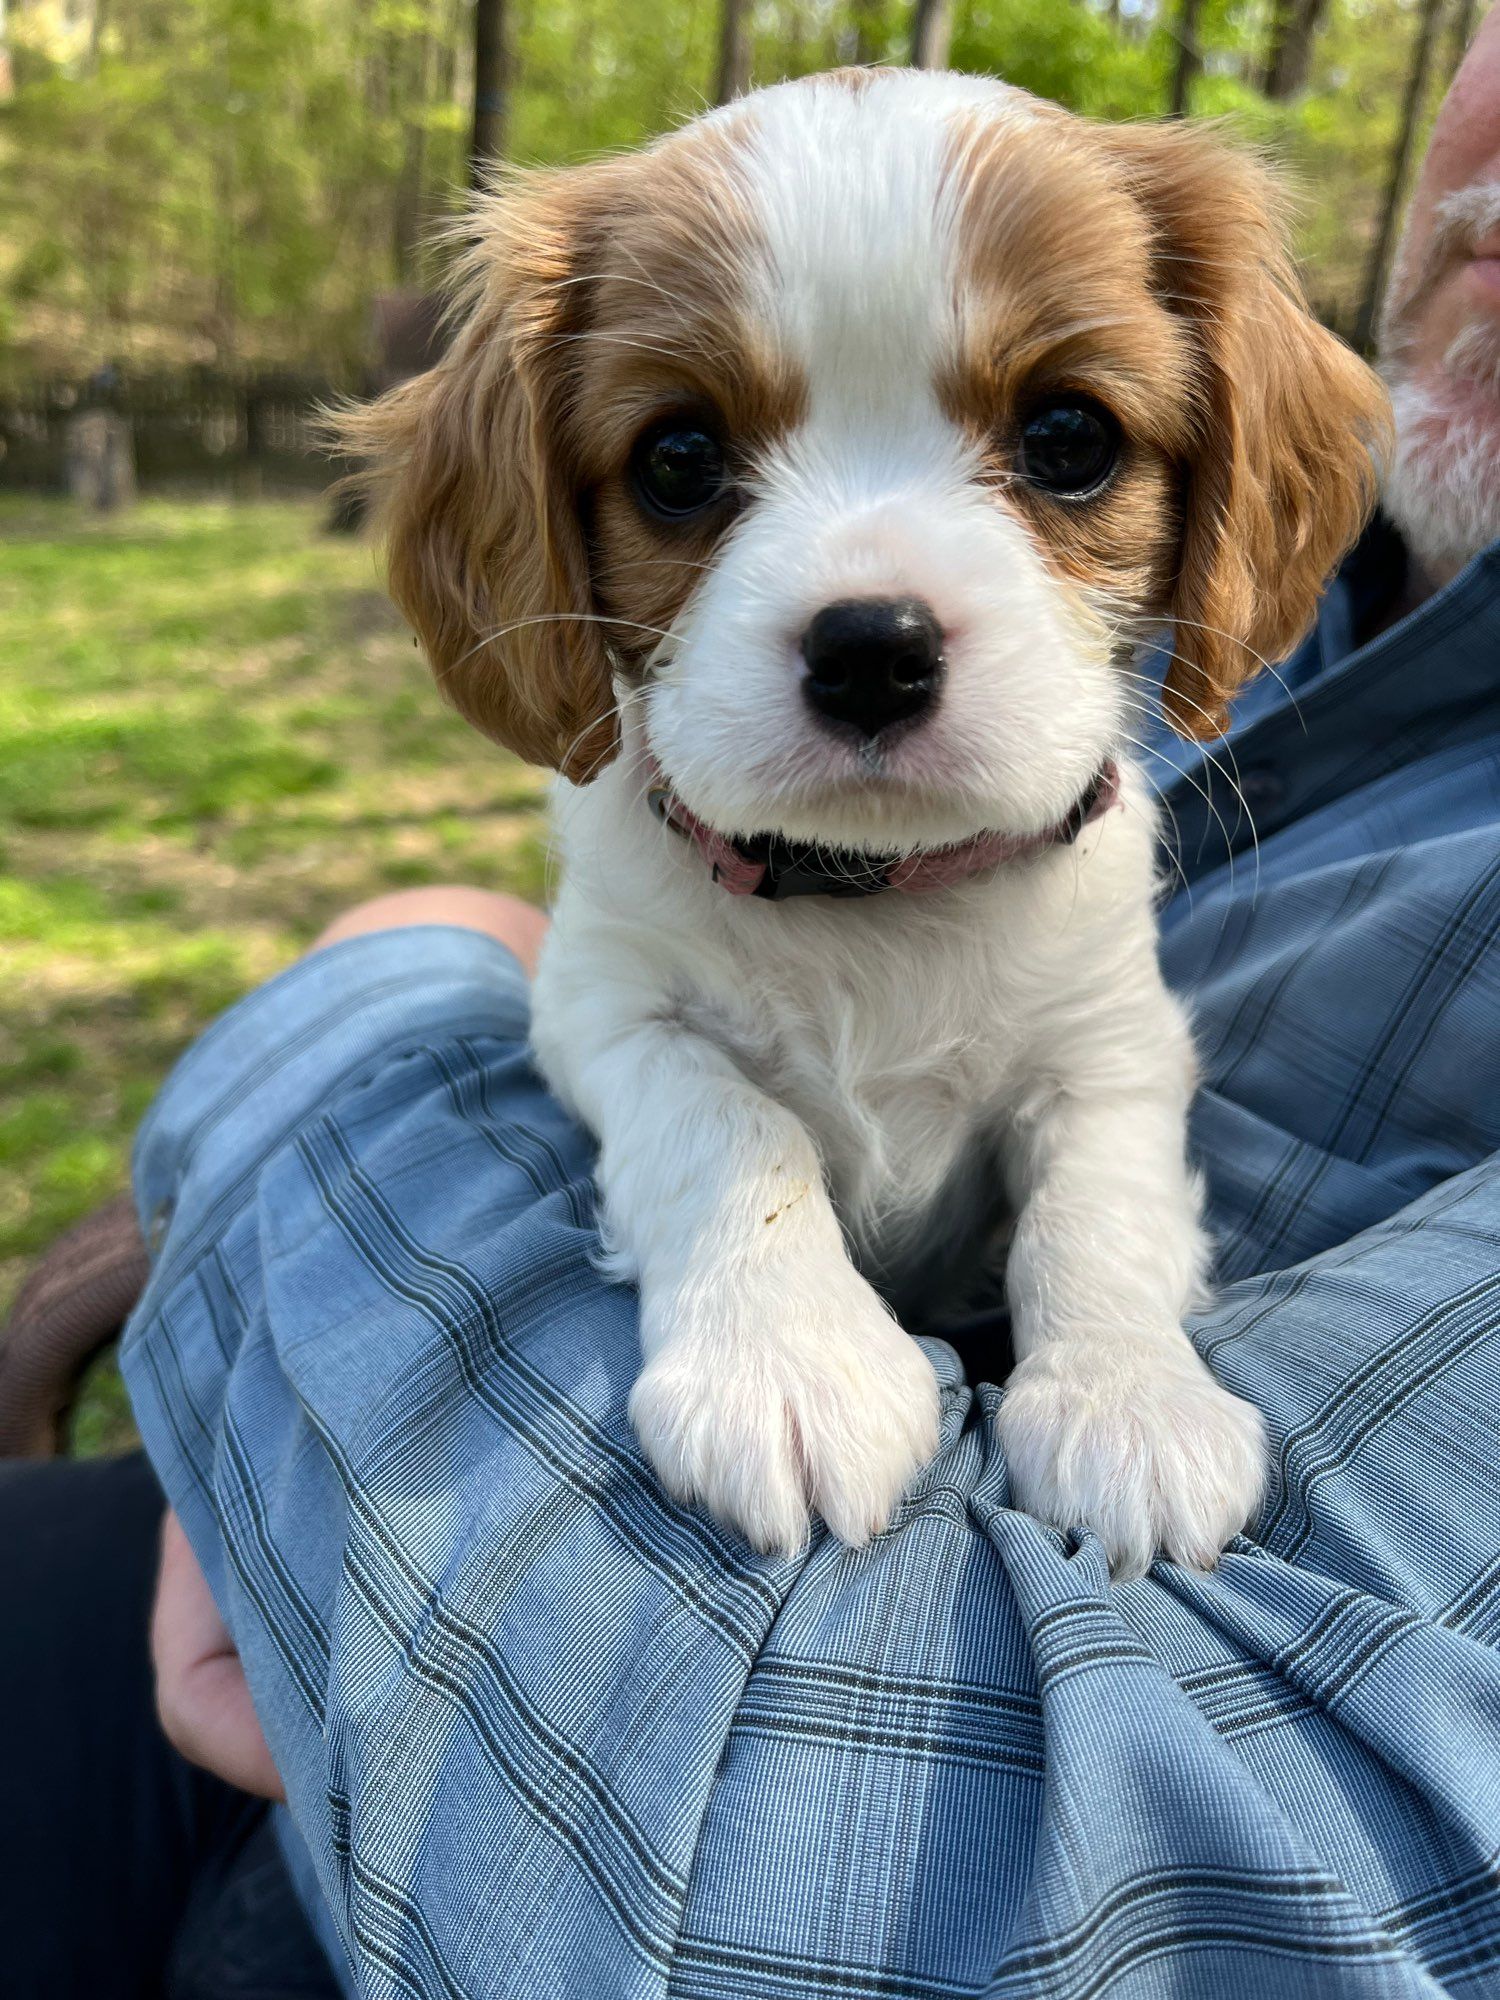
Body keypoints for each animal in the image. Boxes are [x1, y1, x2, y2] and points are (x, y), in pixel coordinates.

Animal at [344, 69, 1390, 1575]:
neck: (881, 893)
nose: (872, 648)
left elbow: (1099, 1204)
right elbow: (729, 1127)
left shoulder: (1117, 1044)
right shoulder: (604, 1006)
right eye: (678, 457)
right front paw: (790, 1362)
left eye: (1070, 437)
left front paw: (1130, 1402)